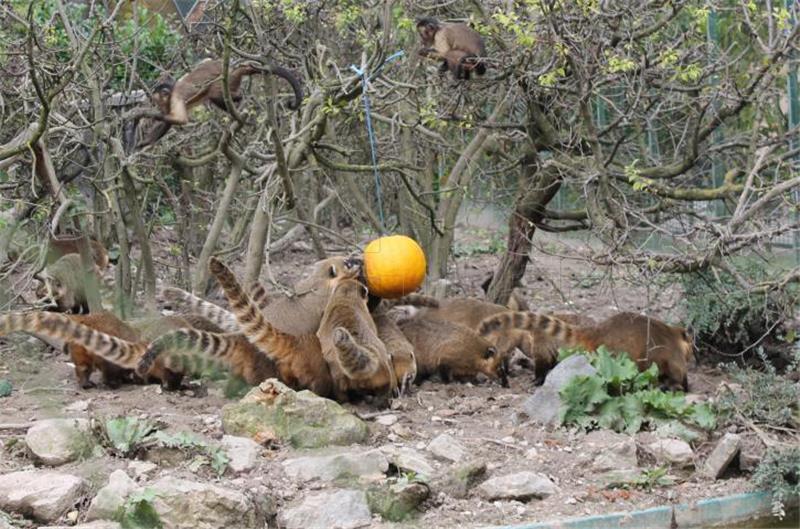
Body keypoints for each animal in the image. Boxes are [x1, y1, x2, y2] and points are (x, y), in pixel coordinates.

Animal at [137, 58, 304, 148]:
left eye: (156, 100)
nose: (157, 106)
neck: (171, 92)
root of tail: (232, 70)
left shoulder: (175, 98)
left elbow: (180, 119)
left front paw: (150, 116)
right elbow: (170, 122)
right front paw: (145, 142)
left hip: (228, 80)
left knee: (216, 94)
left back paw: (239, 100)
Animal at [482, 310, 692, 392]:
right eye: (692, 346)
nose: (693, 355)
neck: (674, 334)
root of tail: (599, 330)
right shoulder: (672, 354)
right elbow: (676, 372)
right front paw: (680, 384)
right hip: (618, 354)